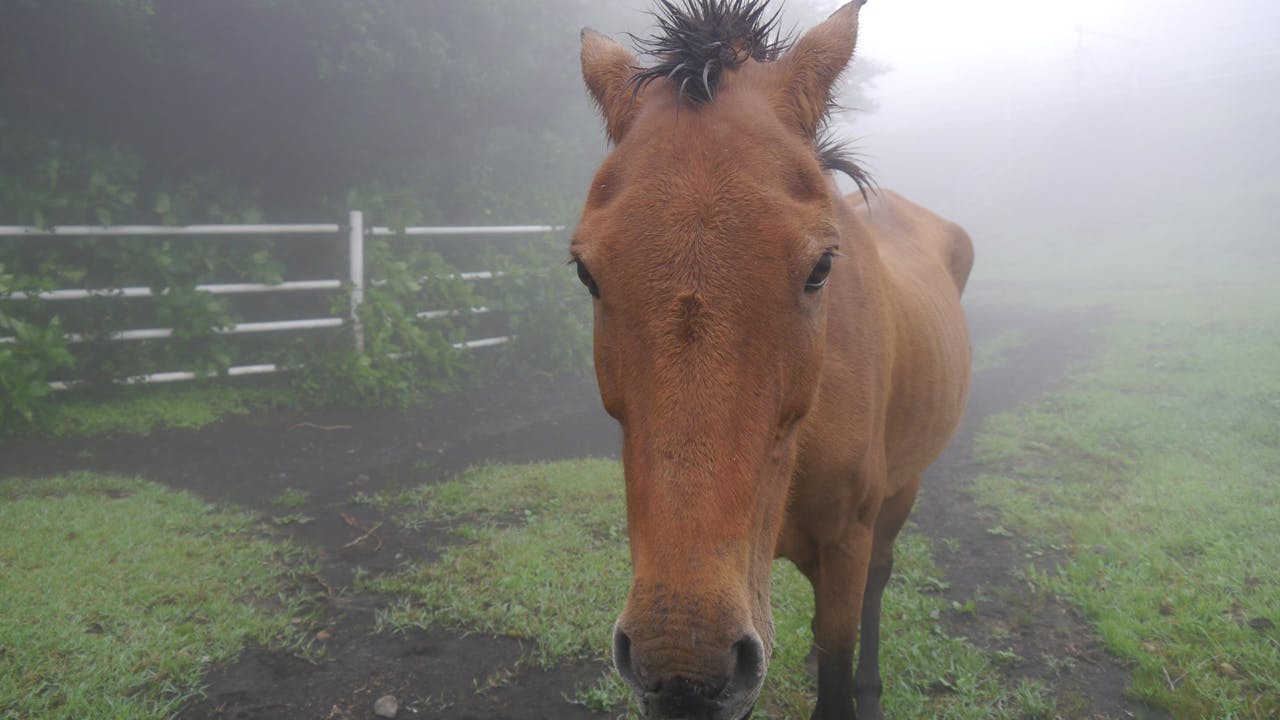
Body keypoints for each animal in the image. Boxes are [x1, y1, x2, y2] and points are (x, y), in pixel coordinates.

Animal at [570, 2, 967, 712]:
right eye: (587, 272)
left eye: (822, 267)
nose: (682, 674)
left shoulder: (847, 545)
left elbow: (839, 661)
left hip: (902, 491)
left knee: (880, 578)